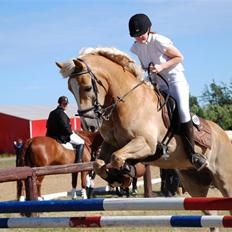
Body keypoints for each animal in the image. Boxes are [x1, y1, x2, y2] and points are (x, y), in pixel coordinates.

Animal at [56, 47, 232, 230]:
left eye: (88, 87)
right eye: (70, 90)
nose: (88, 126)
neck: (126, 103)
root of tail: (223, 134)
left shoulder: (146, 144)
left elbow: (117, 157)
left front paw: (125, 173)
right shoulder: (111, 144)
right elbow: (99, 163)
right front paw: (118, 177)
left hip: (225, 180)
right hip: (194, 184)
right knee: (212, 217)